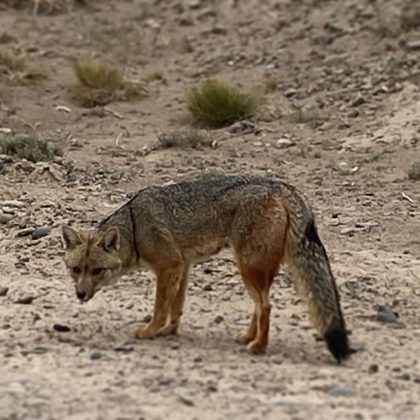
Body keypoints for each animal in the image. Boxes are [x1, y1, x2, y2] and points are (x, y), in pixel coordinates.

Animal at [61, 175, 352, 364]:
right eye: (76, 269)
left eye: (96, 271)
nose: (80, 295)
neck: (134, 228)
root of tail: (283, 186)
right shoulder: (182, 266)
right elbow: (176, 306)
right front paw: (169, 331)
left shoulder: (168, 267)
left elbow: (160, 307)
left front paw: (150, 331)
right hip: (257, 270)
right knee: (260, 307)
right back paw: (248, 337)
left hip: (248, 268)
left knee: (266, 306)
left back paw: (258, 347)